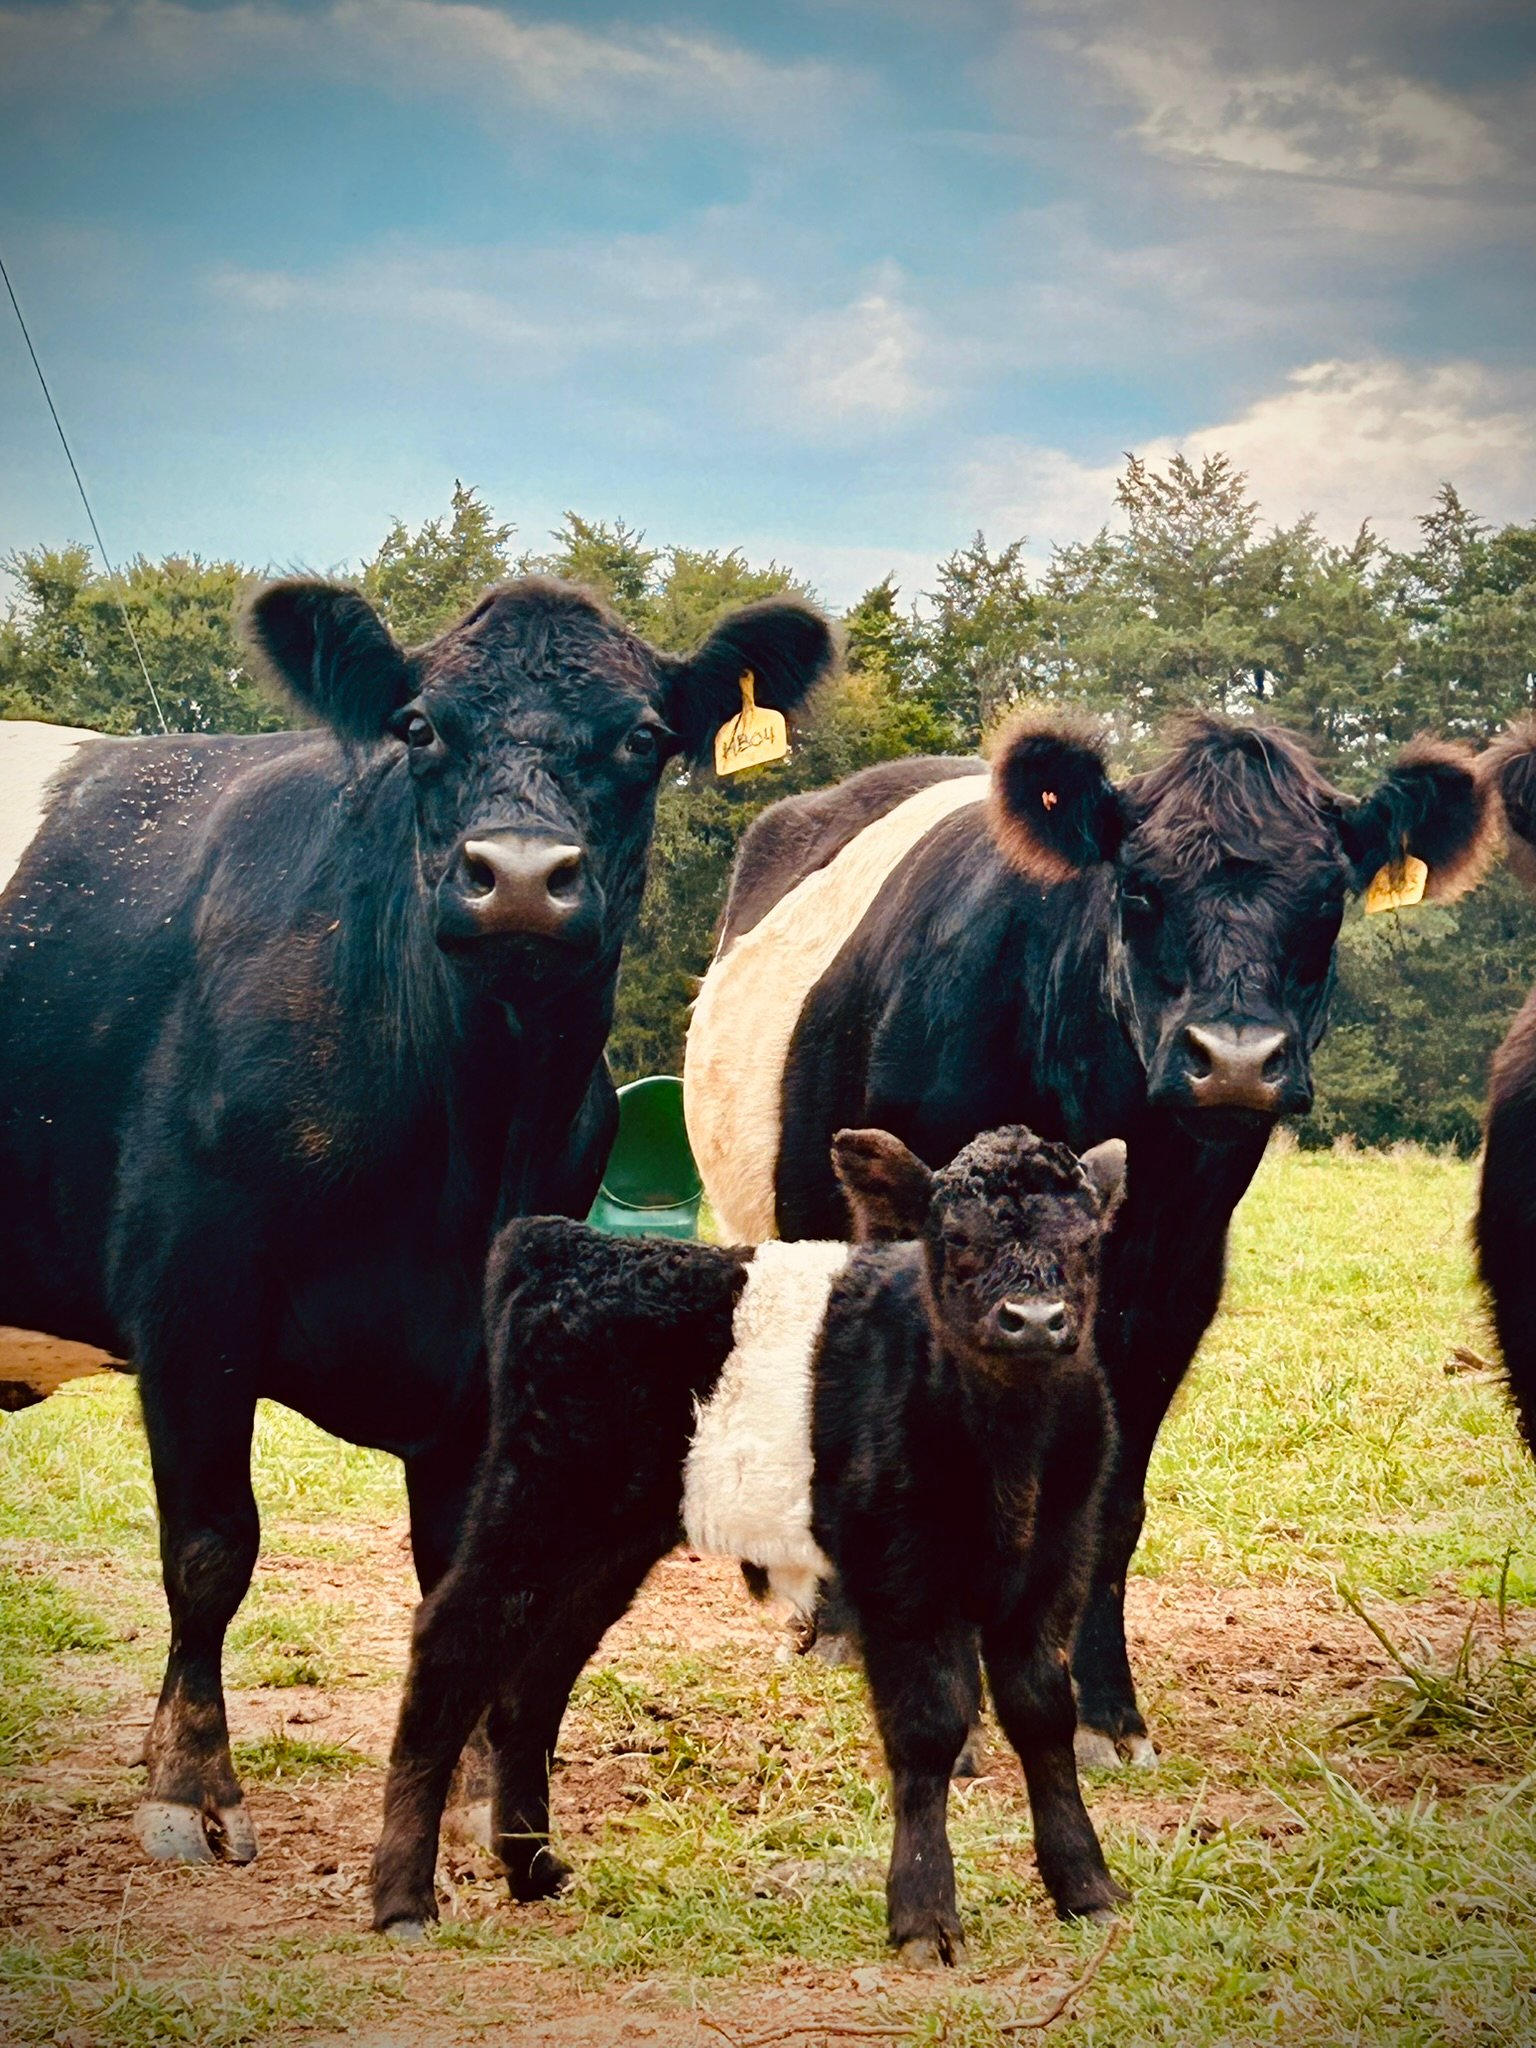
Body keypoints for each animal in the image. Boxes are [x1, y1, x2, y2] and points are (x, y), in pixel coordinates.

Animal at [0, 575, 833, 1865]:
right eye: (420, 726)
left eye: (643, 736)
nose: (523, 873)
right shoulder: (190, 1294)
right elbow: (209, 1547)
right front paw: (190, 1784)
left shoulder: (489, 1346)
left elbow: (464, 1574)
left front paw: (479, 1787)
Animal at [369, 1123, 1129, 1960]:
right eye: (955, 1239)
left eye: (1087, 1243)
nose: (1035, 1318)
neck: (1009, 1455)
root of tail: (567, 1245)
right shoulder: (899, 1577)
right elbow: (929, 1727)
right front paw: (925, 1916)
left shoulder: (1053, 1571)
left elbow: (1043, 1714)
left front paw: (1086, 1888)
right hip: (535, 1506)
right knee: (451, 1646)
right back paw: (403, 1898)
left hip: (605, 1545)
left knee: (533, 1686)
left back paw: (534, 1869)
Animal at [683, 713, 1494, 1767]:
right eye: (1140, 889)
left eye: (1327, 900)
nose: (1237, 1061)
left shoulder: (1171, 1288)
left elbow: (1113, 1506)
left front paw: (1103, 1710)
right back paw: (830, 1629)